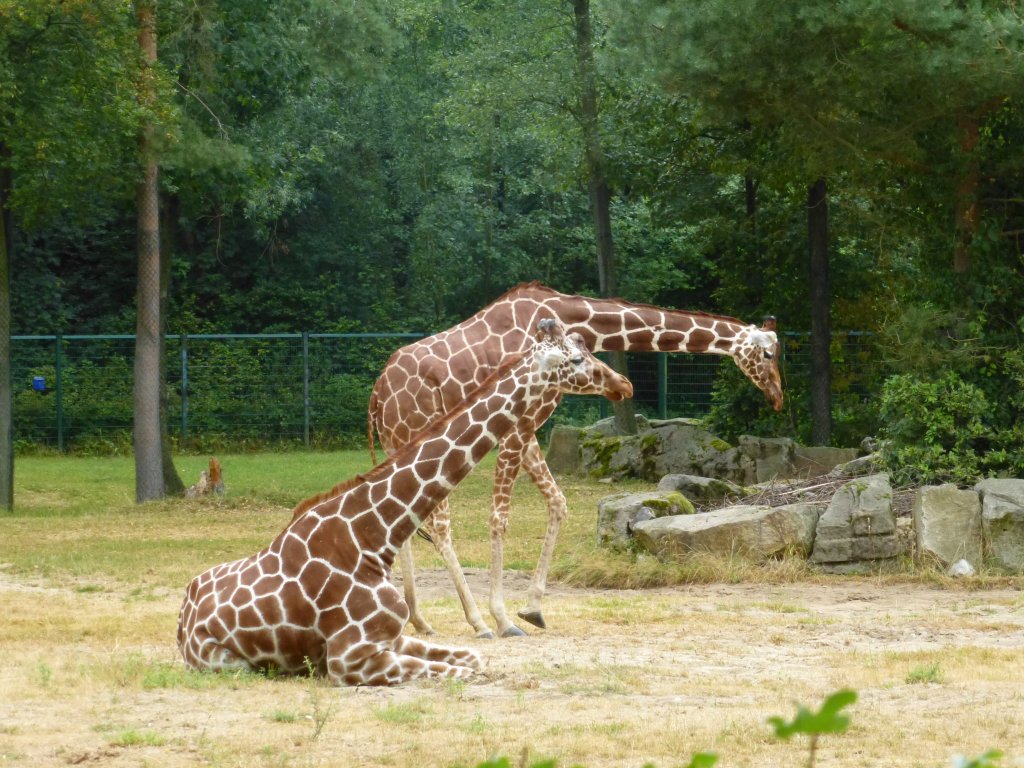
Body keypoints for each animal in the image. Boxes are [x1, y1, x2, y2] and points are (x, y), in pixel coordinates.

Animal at [180, 321, 634, 688]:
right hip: (228, 662)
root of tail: (183, 615)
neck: (372, 539)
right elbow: (465, 671)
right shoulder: (351, 660)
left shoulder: (395, 638)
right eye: (576, 358)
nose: (622, 384)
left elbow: (474, 658)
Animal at [372, 280, 778, 638]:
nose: (778, 395)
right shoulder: (519, 424)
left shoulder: (529, 429)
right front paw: (503, 618)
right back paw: (474, 622)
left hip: (401, 443)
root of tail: (378, 394)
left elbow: (558, 502)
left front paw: (533, 608)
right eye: (769, 354)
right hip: (418, 431)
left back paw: (418, 621)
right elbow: (500, 518)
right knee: (436, 525)